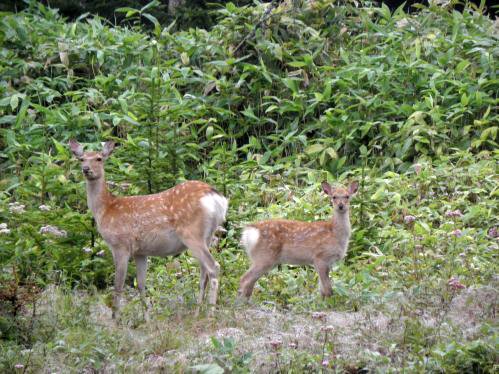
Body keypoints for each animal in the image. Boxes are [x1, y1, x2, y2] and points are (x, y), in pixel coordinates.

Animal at [69, 140, 229, 318]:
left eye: (98, 158)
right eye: (81, 159)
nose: (86, 169)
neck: (106, 209)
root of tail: (217, 198)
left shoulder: (120, 245)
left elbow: (118, 286)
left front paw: (115, 318)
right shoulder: (141, 252)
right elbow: (141, 284)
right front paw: (146, 318)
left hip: (191, 234)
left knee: (213, 267)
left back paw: (210, 314)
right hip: (208, 236)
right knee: (204, 272)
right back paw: (197, 313)